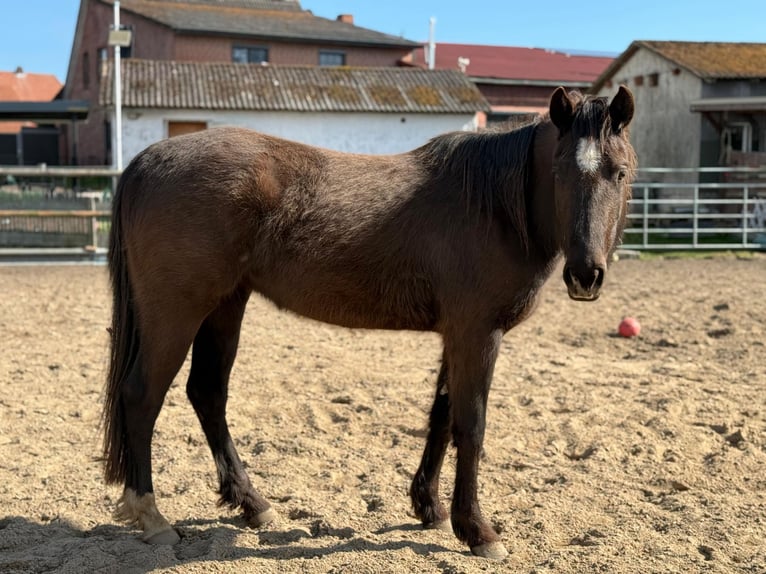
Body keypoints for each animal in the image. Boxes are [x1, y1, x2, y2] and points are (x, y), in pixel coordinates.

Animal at [103, 86, 636, 560]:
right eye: (559, 171)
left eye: (620, 173)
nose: (585, 274)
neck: (490, 206)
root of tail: (144, 163)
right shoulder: (477, 334)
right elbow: (471, 425)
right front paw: (477, 530)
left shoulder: (456, 335)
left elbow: (441, 415)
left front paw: (430, 507)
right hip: (176, 312)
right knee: (142, 396)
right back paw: (154, 518)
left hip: (225, 306)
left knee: (208, 394)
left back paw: (254, 504)